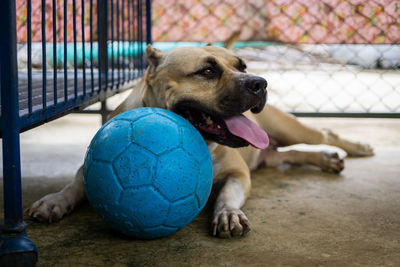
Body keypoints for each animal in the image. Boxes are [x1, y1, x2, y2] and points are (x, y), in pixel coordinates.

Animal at [26, 44, 374, 239]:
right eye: (207, 71)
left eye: (242, 66)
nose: (260, 83)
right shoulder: (90, 165)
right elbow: (75, 184)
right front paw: (55, 201)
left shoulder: (238, 174)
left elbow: (228, 194)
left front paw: (227, 213)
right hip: (270, 151)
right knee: (286, 155)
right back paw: (327, 159)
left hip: (288, 128)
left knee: (323, 134)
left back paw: (356, 148)